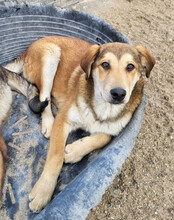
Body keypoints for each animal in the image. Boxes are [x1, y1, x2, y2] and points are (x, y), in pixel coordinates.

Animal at [5, 35, 155, 211]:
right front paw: (43, 191)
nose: (118, 93)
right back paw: (48, 123)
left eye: (130, 66)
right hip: (50, 56)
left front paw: (75, 151)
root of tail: (27, 49)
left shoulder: (113, 129)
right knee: (44, 98)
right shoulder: (63, 119)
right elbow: (55, 157)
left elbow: (103, 138)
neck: (103, 108)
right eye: (105, 64)